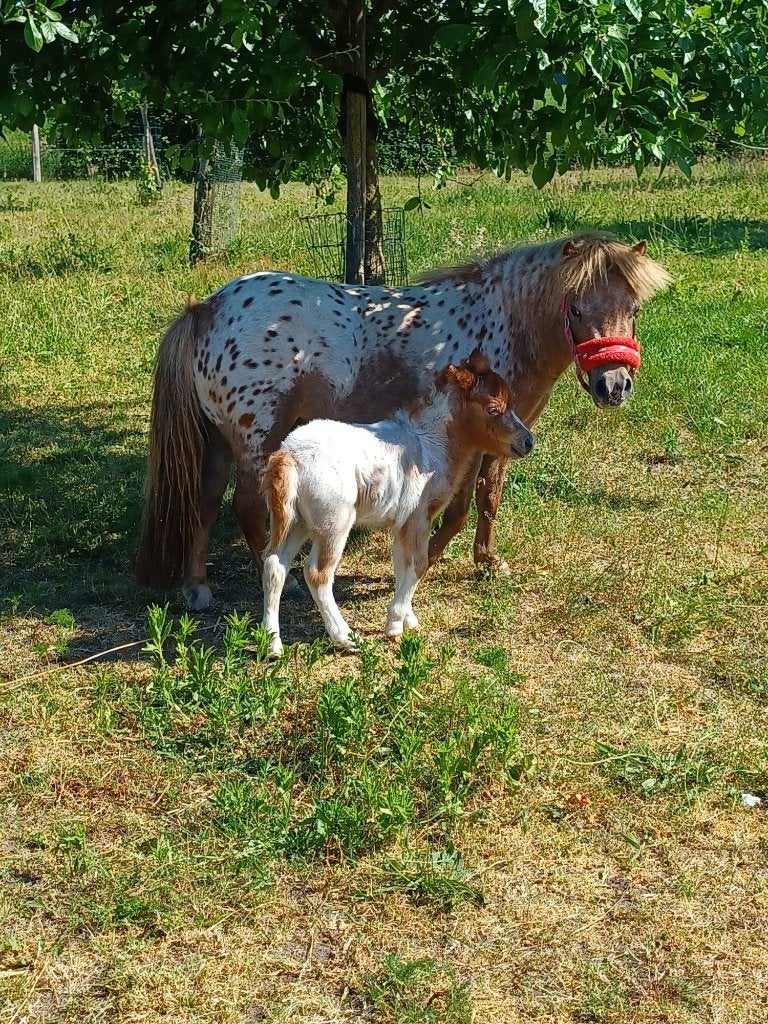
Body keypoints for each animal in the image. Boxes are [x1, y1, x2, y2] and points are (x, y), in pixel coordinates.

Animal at [135, 231, 670, 609]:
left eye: (635, 308)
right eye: (575, 307)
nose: (614, 385)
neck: (504, 325)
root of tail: (207, 308)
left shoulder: (504, 440)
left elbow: (489, 499)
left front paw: (487, 562)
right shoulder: (473, 444)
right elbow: (457, 511)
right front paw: (425, 564)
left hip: (220, 442)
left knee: (203, 501)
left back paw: (198, 588)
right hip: (256, 440)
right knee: (247, 508)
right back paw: (285, 585)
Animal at [261, 348, 535, 655]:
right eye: (493, 409)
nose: (528, 442)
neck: (431, 445)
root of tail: (289, 456)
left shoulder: (402, 523)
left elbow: (401, 564)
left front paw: (409, 619)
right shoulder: (418, 517)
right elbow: (419, 564)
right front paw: (394, 625)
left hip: (297, 521)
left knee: (274, 565)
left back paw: (272, 644)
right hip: (334, 522)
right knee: (317, 574)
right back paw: (347, 638)